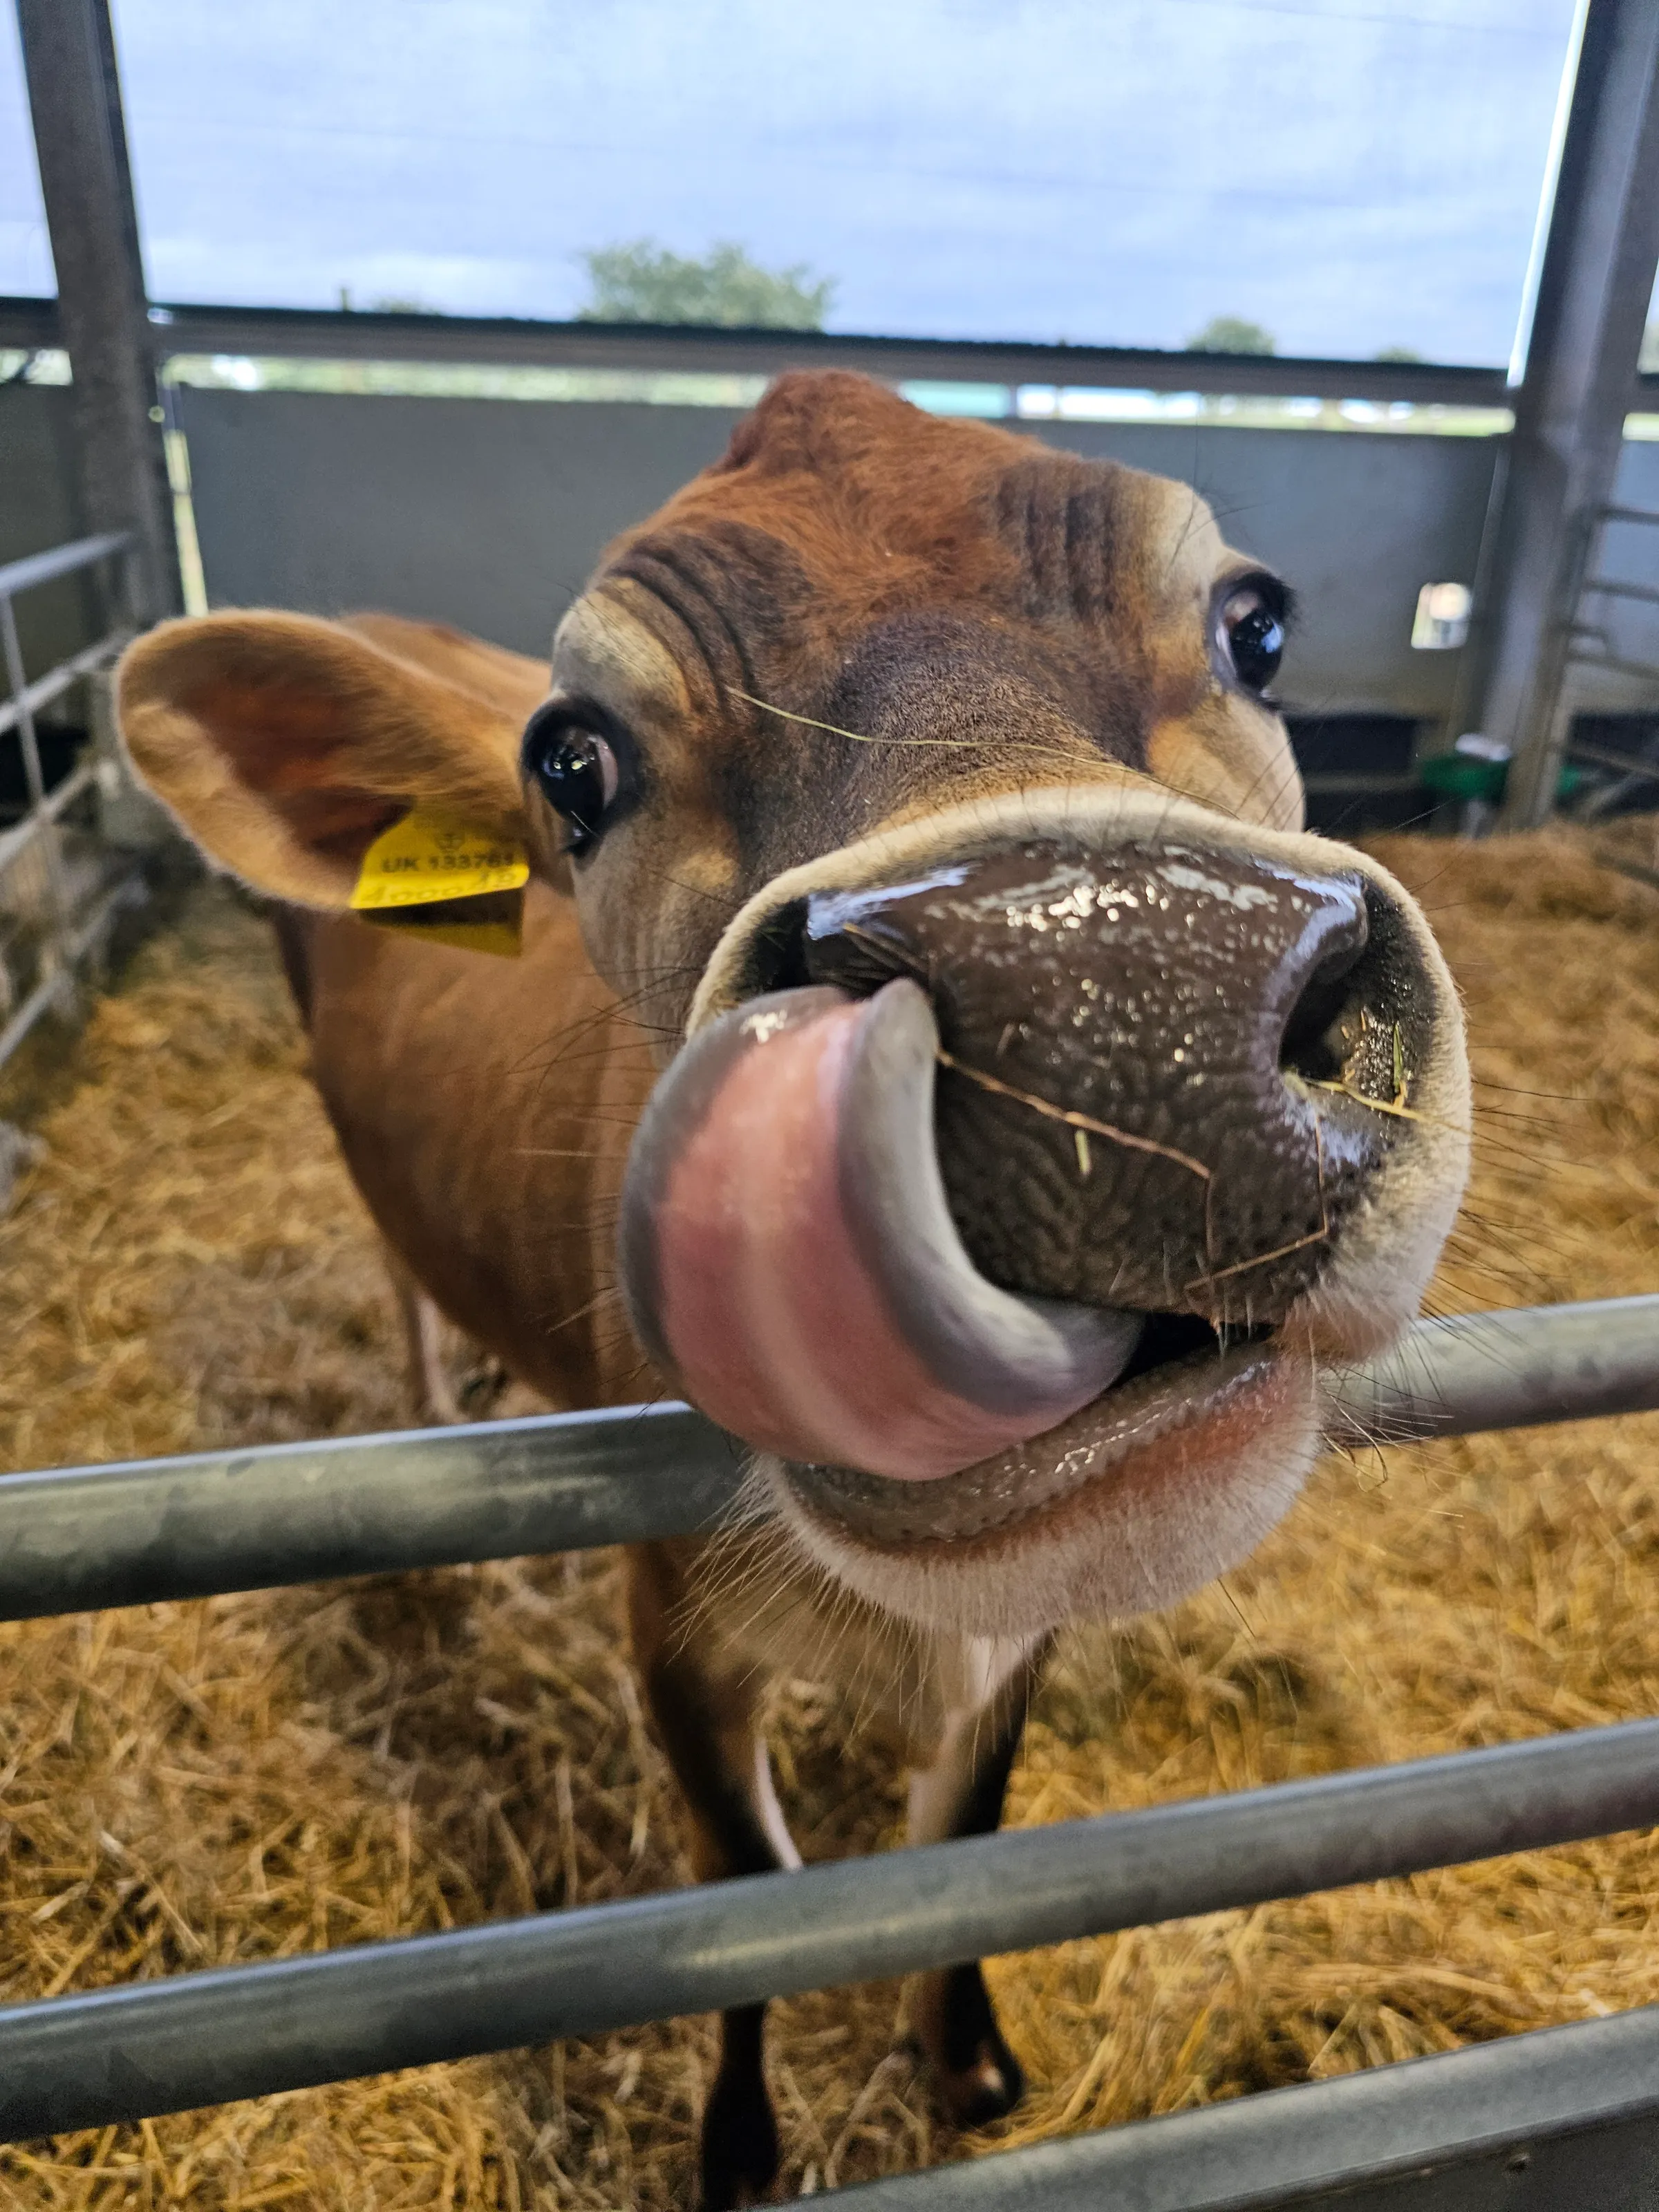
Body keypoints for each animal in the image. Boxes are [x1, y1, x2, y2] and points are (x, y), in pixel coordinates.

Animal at [116, 370, 1470, 2207]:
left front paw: (963, 2059)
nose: (1118, 995)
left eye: (1254, 626)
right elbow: (747, 1901)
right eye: (571, 759)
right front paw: (741, 2146)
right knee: (406, 1291)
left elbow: (965, 1828)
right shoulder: (674, 1627)